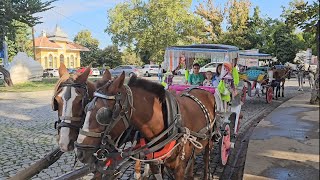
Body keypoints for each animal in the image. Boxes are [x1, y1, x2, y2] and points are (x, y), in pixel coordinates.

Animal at [76, 70, 216, 179]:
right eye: (86, 107)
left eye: (103, 115)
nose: (80, 152)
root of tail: (200, 89)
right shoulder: (155, 163)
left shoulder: (179, 169)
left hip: (209, 141)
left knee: (206, 159)